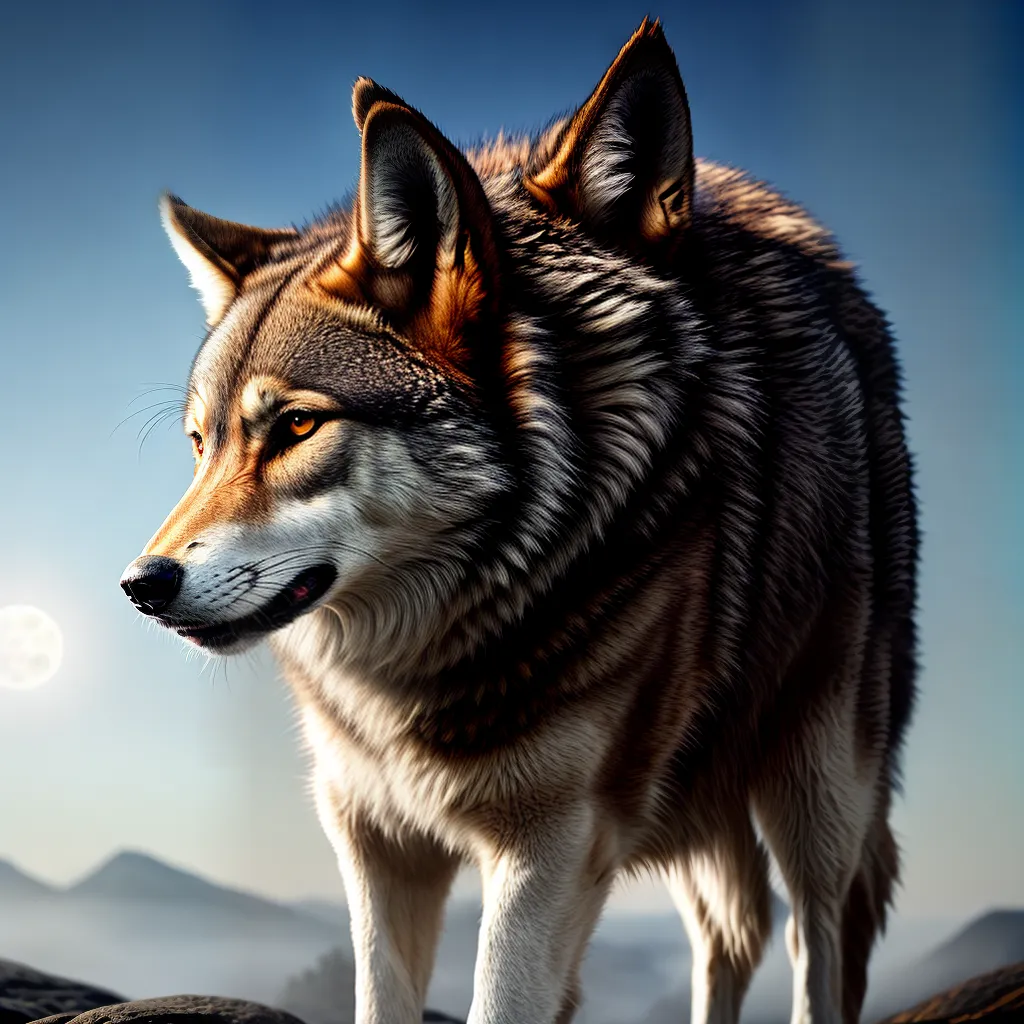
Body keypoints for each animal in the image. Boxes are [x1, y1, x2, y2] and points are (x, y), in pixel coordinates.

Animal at [120, 19, 918, 1024]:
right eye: (202, 443)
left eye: (296, 426)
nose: (141, 586)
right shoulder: (375, 839)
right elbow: (381, 995)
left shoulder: (551, 843)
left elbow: (503, 997)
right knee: (730, 933)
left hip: (814, 781)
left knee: (818, 939)